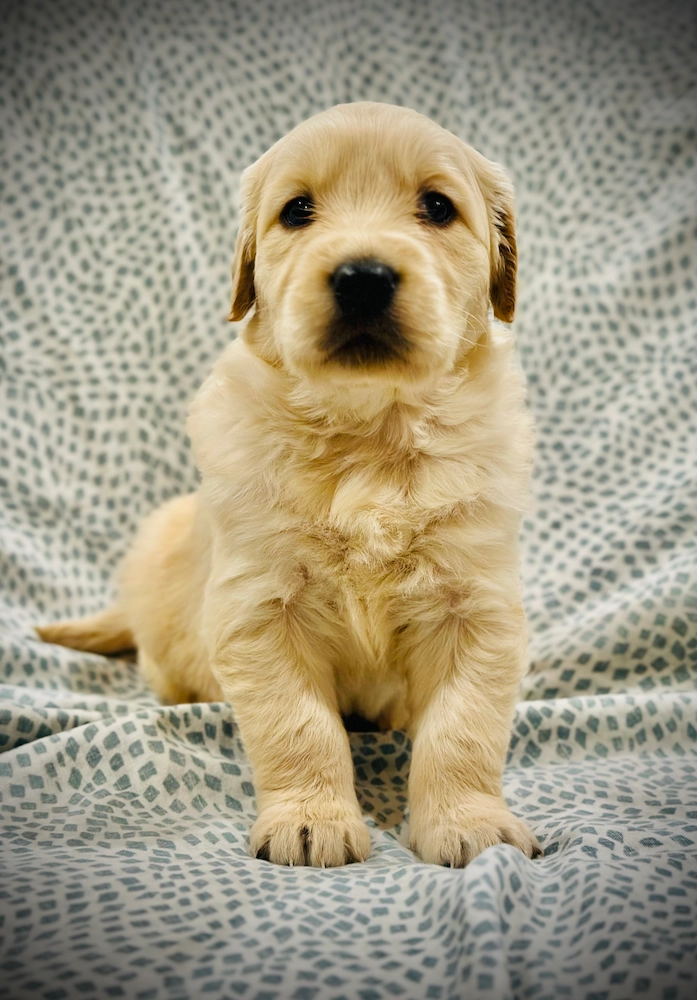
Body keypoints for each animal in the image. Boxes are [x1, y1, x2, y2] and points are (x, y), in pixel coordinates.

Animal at [38, 101, 541, 868]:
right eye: (297, 210)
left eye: (437, 207)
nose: (362, 277)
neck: (369, 435)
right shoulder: (261, 609)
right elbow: (298, 727)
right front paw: (311, 821)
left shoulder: (476, 607)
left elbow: (462, 728)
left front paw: (469, 821)